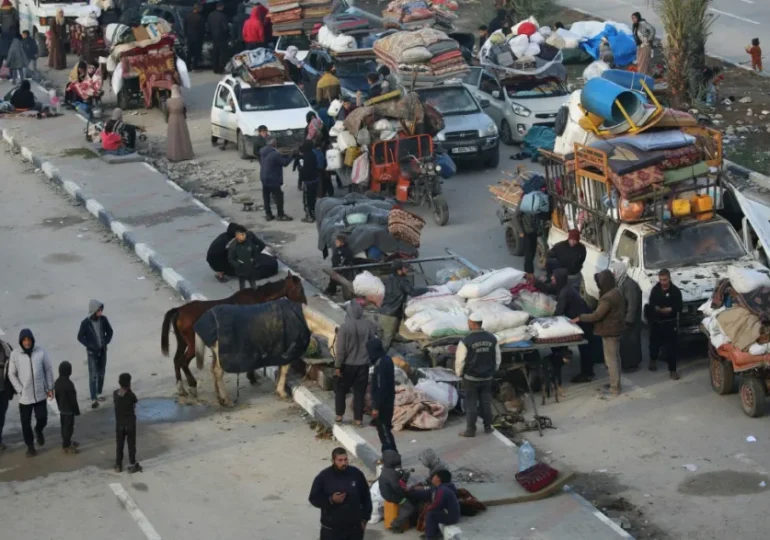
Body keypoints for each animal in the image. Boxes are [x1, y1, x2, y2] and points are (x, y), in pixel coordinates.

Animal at [159, 274, 306, 396]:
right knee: (183, 362)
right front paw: (252, 377)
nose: (305, 304)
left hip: (182, 341)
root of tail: (179, 310)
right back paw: (192, 385)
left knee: (176, 360)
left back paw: (181, 388)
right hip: (192, 344)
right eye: (299, 289)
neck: (257, 298)